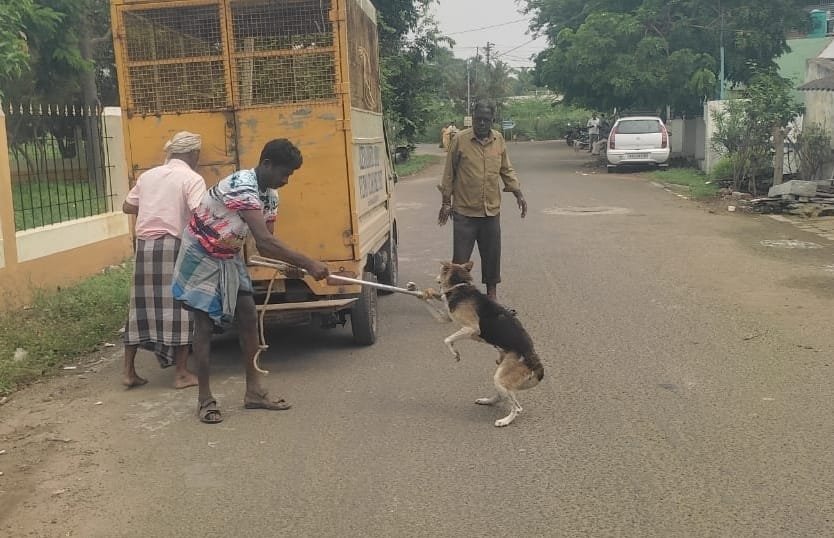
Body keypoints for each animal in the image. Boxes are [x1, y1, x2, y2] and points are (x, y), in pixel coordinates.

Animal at [432, 260, 544, 428]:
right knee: (504, 395)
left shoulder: (471, 328)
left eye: (440, 271)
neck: (461, 285)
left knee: (517, 408)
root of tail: (534, 359)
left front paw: (455, 353)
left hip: (501, 377)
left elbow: (448, 340)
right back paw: (487, 401)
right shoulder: (460, 326)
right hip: (501, 373)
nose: (436, 279)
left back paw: (504, 421)